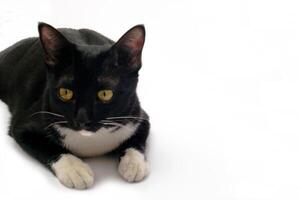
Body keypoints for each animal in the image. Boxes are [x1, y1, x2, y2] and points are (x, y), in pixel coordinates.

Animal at [0, 22, 150, 190]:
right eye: (65, 92)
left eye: (105, 94)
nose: (82, 120)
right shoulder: (25, 123)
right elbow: (45, 145)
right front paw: (74, 169)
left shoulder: (139, 115)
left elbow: (136, 139)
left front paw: (133, 164)